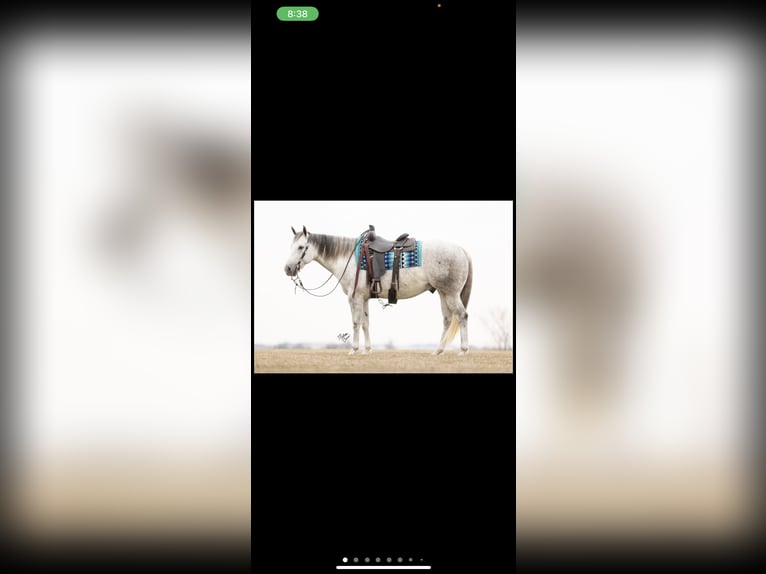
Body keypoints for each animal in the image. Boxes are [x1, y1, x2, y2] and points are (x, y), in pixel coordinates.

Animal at [283, 226, 473, 355]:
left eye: (301, 247)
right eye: (291, 246)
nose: (287, 269)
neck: (349, 257)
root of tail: (461, 250)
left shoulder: (354, 298)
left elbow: (355, 323)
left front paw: (354, 350)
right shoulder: (364, 298)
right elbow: (365, 323)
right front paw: (367, 350)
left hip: (451, 294)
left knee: (462, 316)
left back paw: (463, 350)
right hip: (443, 293)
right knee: (448, 319)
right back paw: (438, 351)